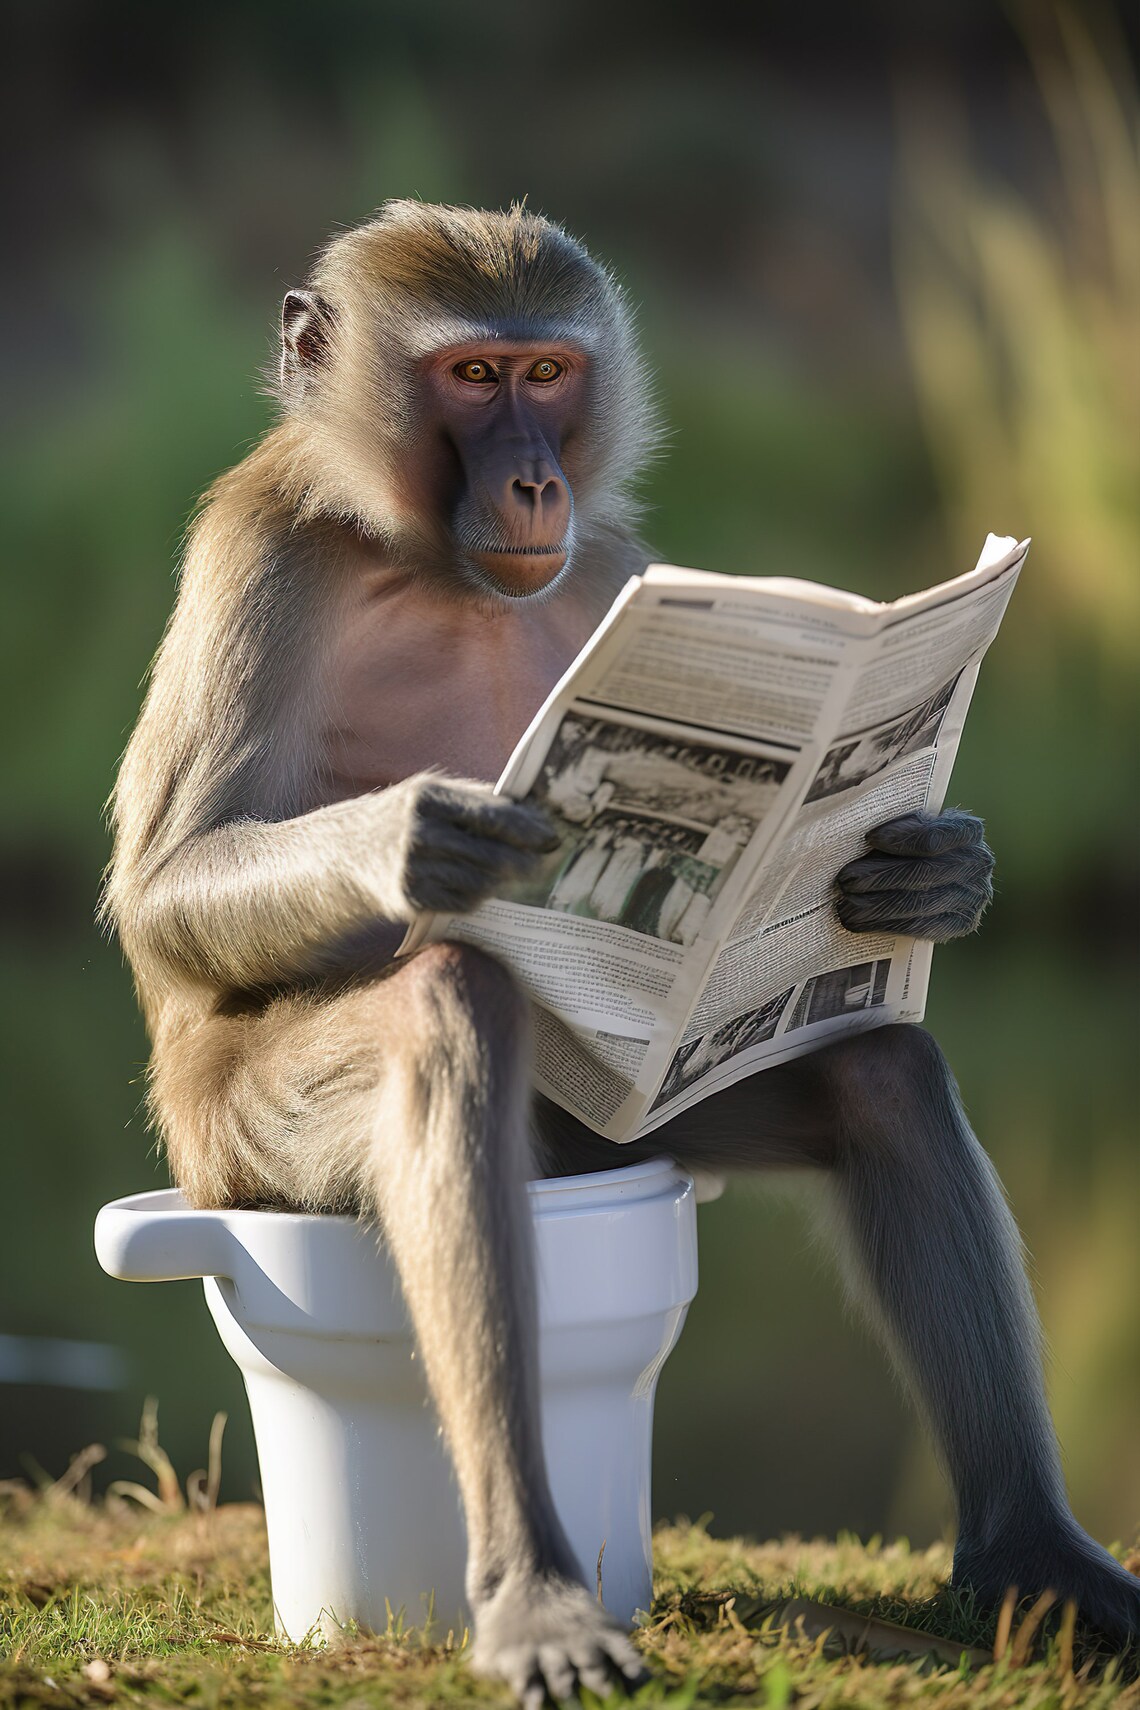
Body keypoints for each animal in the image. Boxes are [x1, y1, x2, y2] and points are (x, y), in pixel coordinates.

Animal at [103, 202, 1139, 1703]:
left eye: (546, 372)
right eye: (473, 378)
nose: (535, 481)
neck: (424, 557)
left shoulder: (617, 573)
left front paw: (932, 873)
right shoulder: (268, 552)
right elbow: (165, 884)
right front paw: (422, 840)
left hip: (615, 1123)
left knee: (874, 1071)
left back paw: (1030, 1556)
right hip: (239, 1139)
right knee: (450, 1017)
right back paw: (530, 1586)